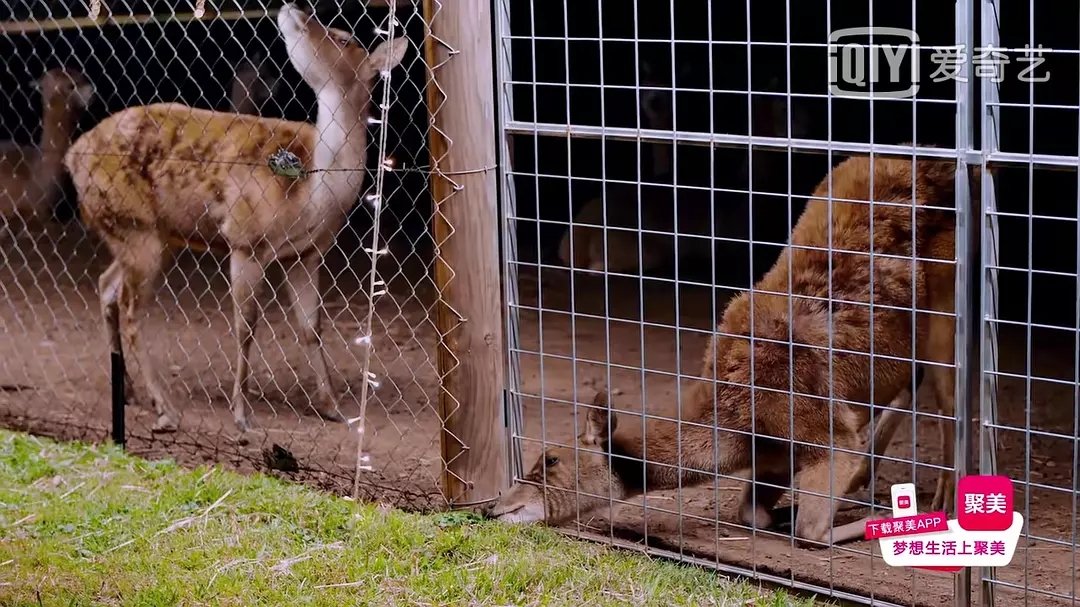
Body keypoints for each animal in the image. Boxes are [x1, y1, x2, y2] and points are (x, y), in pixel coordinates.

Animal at [63, 3, 408, 429]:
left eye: (344, 38)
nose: (293, 8)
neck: (314, 192)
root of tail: (73, 156)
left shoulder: (306, 252)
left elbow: (311, 328)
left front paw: (334, 409)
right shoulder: (246, 239)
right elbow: (247, 326)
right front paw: (242, 415)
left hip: (144, 231)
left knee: (106, 285)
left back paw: (129, 393)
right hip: (134, 225)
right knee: (130, 308)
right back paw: (166, 407)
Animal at [490, 153, 972, 546]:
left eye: (550, 459)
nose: (494, 507)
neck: (737, 428)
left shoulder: (824, 432)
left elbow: (811, 532)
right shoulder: (777, 454)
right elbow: (751, 513)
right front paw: (789, 510)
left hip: (946, 313)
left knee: (949, 400)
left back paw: (942, 498)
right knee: (914, 382)